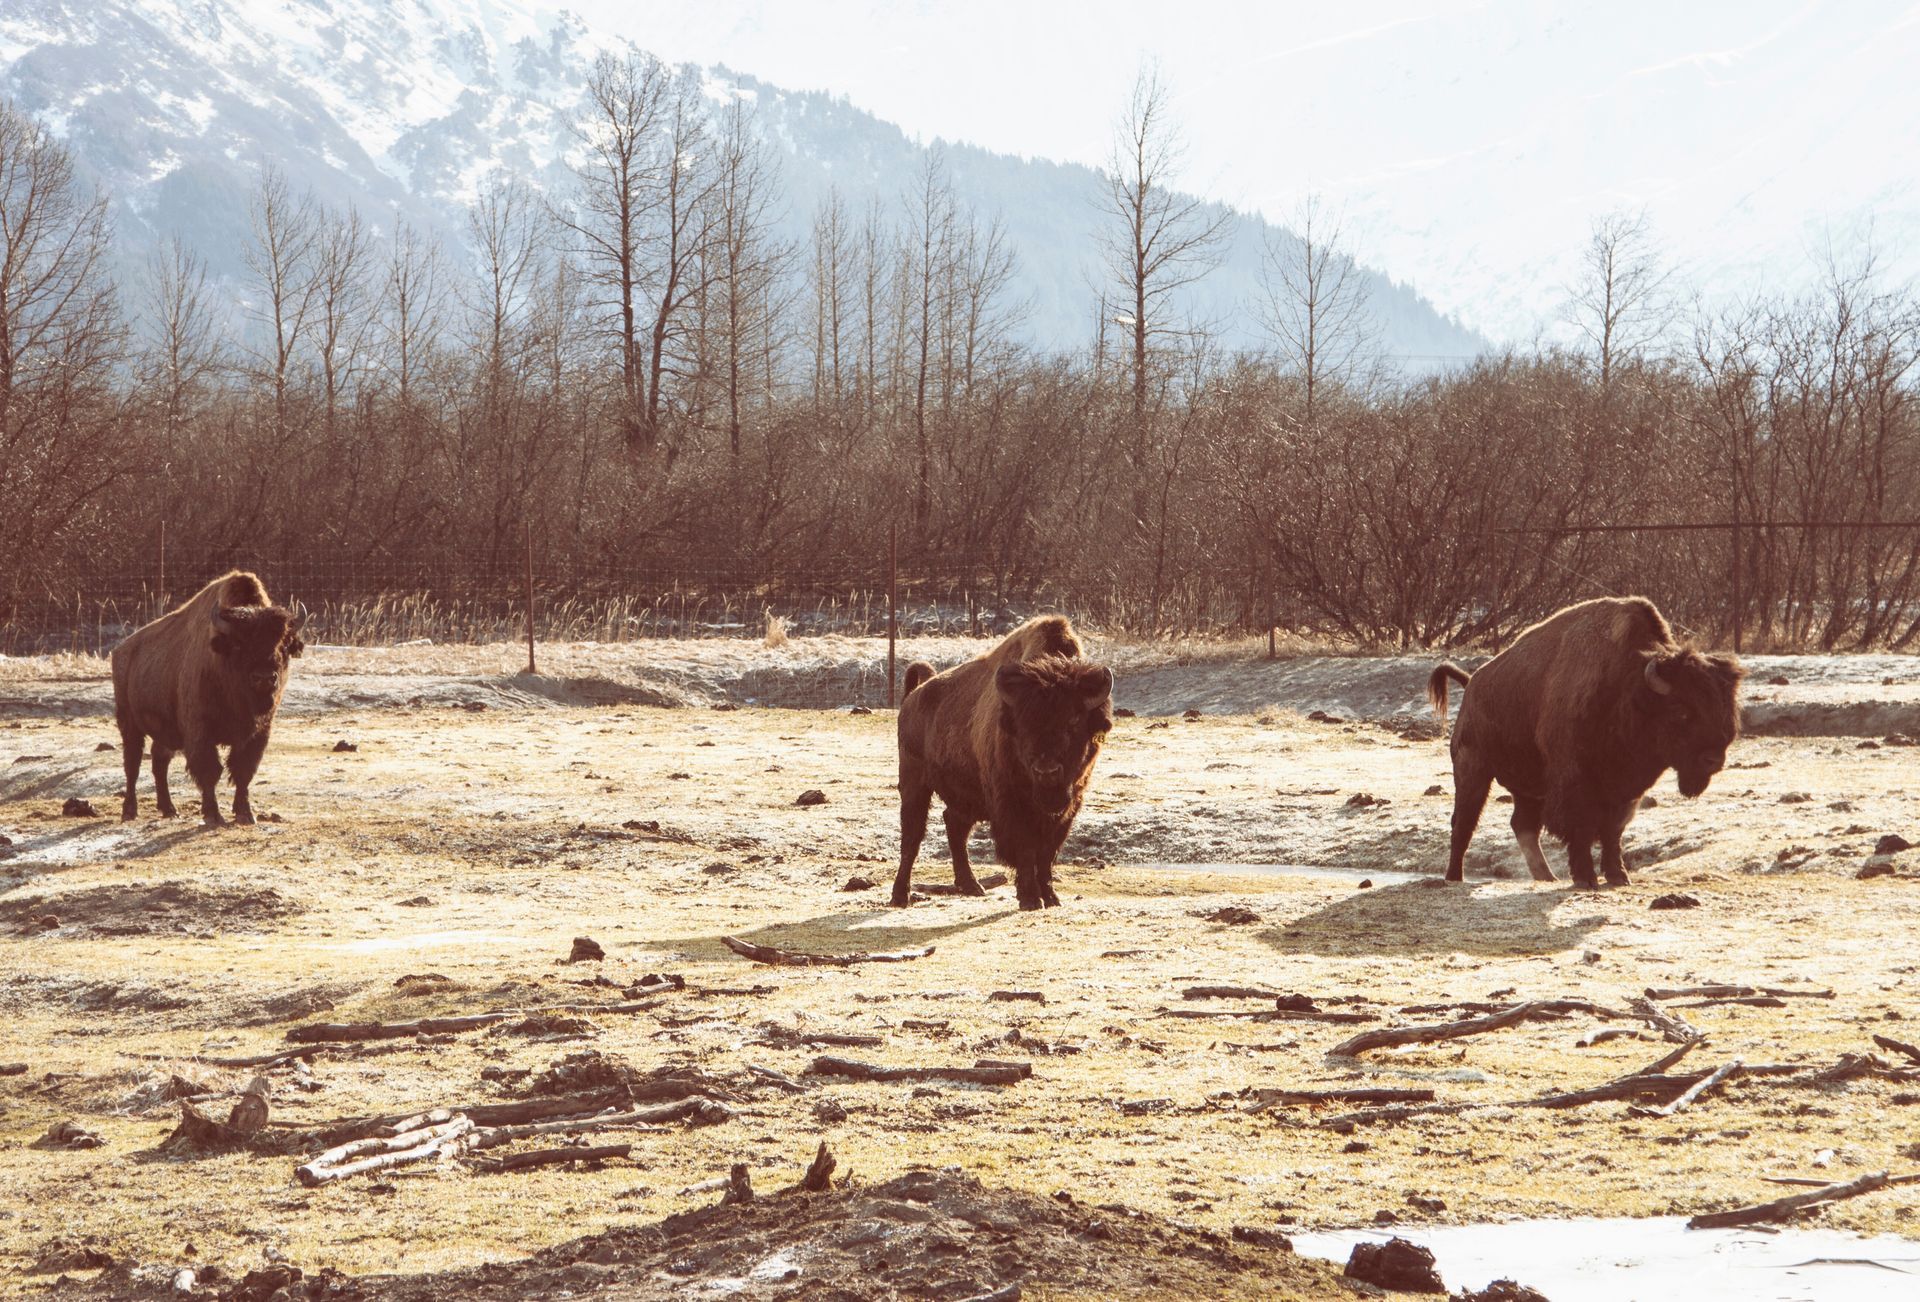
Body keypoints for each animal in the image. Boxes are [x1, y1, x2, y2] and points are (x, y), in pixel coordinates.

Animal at [112, 571, 307, 827]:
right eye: (238, 644)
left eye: (284, 645)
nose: (264, 678)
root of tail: (120, 650)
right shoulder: (199, 732)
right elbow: (210, 771)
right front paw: (213, 815)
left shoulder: (258, 733)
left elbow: (243, 770)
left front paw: (245, 814)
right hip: (129, 724)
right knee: (132, 765)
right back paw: (129, 811)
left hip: (164, 731)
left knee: (159, 762)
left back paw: (169, 809)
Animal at [893, 616, 1114, 910]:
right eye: (1022, 724)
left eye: (1074, 721)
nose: (1047, 771)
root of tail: (914, 695)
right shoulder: (1012, 804)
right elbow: (1026, 850)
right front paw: (1030, 898)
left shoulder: (1068, 806)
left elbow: (1046, 854)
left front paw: (1051, 898)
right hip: (914, 783)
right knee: (912, 837)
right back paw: (900, 896)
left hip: (966, 797)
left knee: (954, 825)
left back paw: (972, 886)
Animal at [1427, 596, 1742, 889]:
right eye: (1681, 710)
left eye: (1725, 709)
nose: (1713, 759)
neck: (1628, 687)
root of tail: (1472, 683)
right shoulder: (1575, 781)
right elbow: (1581, 826)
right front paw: (1586, 878)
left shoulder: (1624, 790)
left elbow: (1612, 831)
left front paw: (1618, 876)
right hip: (1473, 771)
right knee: (1464, 822)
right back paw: (1454, 877)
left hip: (1527, 788)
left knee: (1523, 826)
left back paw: (1547, 877)